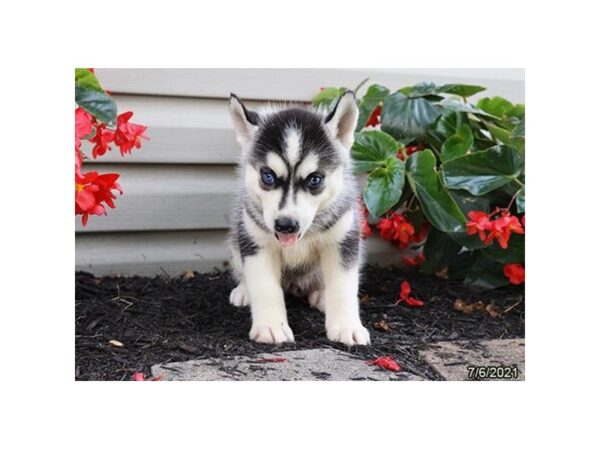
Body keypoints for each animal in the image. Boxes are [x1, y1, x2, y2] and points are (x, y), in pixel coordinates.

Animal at [226, 90, 370, 344]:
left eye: (315, 179)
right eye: (268, 176)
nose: (286, 225)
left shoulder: (343, 240)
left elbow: (343, 288)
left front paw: (347, 326)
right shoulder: (256, 243)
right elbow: (264, 287)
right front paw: (271, 326)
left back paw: (321, 294)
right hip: (236, 242)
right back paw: (244, 291)